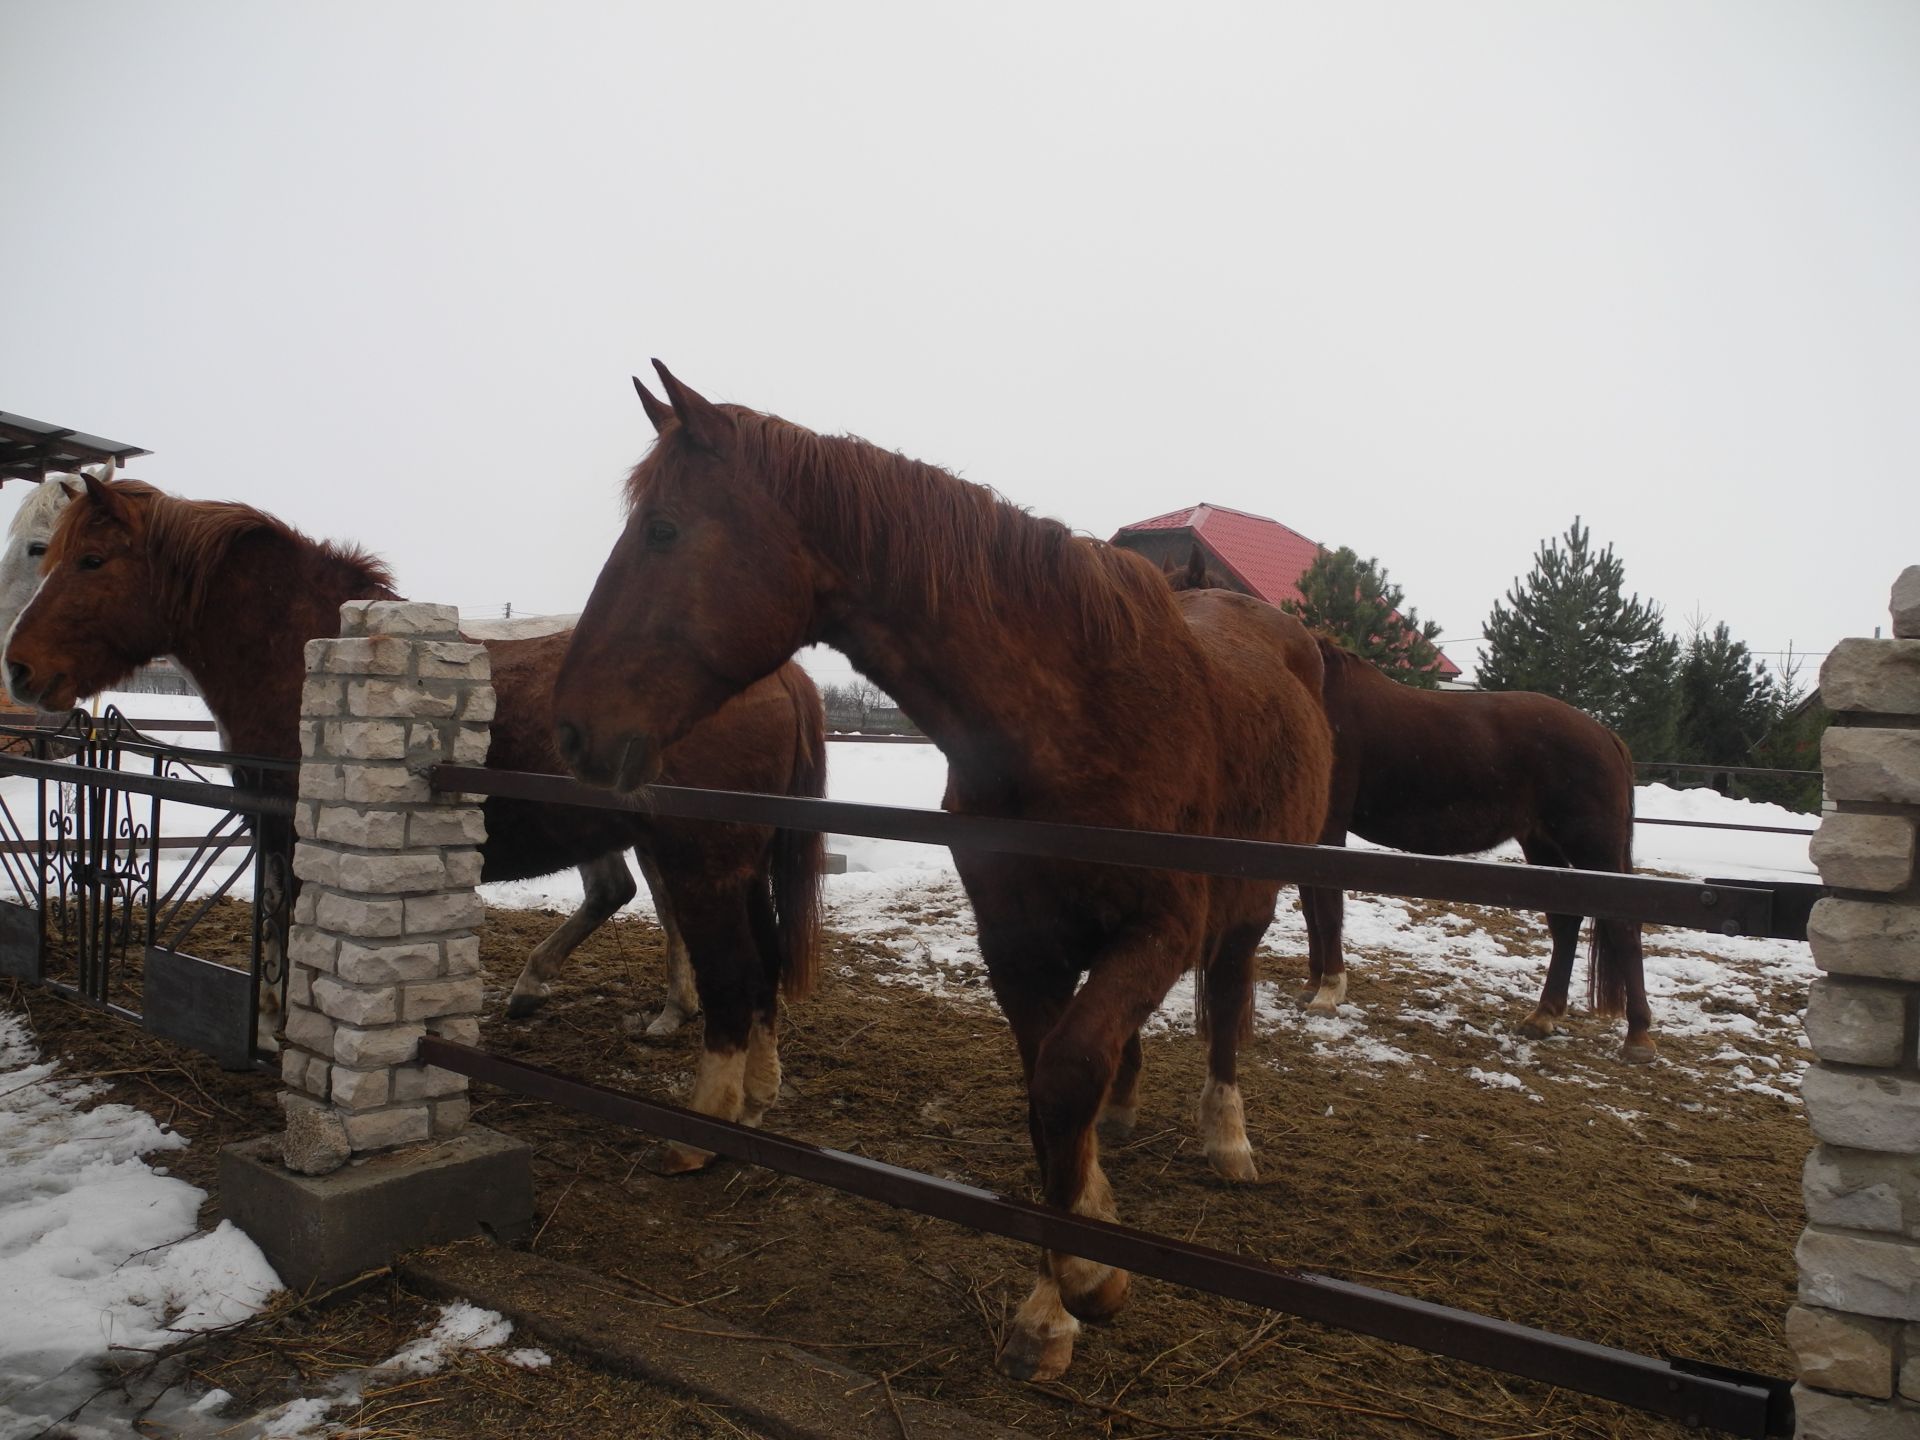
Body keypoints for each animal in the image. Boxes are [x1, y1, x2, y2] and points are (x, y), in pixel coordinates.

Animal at [7, 481, 833, 1152]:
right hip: (731, 865)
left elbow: (286, 934)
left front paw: (284, 1040)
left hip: (704, 863)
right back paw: (752, 1098)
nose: (19, 667)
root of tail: (784, 677)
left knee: (735, 971)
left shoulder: (288, 833)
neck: (296, 650)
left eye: (89, 560)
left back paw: (703, 1129)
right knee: (754, 964)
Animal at [552, 368, 1336, 1390]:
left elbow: (1067, 1078)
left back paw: (1228, 1139)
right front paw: (1070, 1275)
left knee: (1230, 1010)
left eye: (664, 530)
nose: (571, 730)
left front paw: (1083, 1283)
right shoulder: (1017, 945)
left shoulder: (1162, 928)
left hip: (1244, 913)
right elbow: (1052, 1094)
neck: (1079, 718)